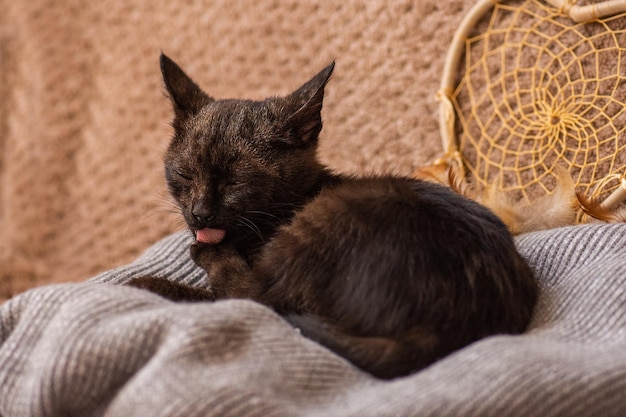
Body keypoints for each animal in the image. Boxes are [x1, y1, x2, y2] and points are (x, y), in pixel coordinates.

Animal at [127, 53, 536, 378]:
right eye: (184, 175)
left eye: (235, 180)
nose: (200, 214)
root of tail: (452, 323)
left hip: (323, 222)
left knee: (254, 298)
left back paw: (154, 281)